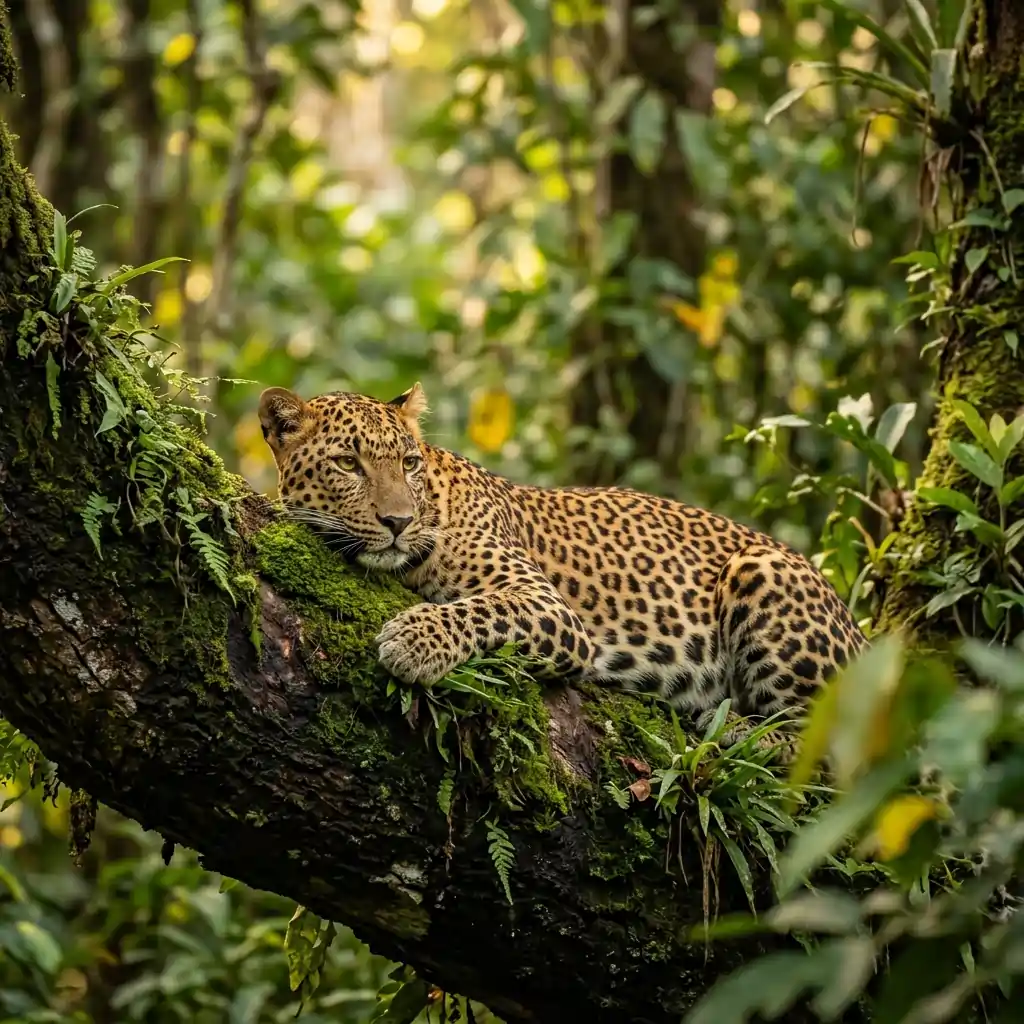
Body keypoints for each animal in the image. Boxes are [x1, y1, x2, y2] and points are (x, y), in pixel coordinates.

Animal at [258, 382, 865, 731]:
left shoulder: (549, 607)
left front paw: (413, 641)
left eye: (408, 463)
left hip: (760, 570)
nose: (398, 522)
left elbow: (481, 609)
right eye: (348, 464)